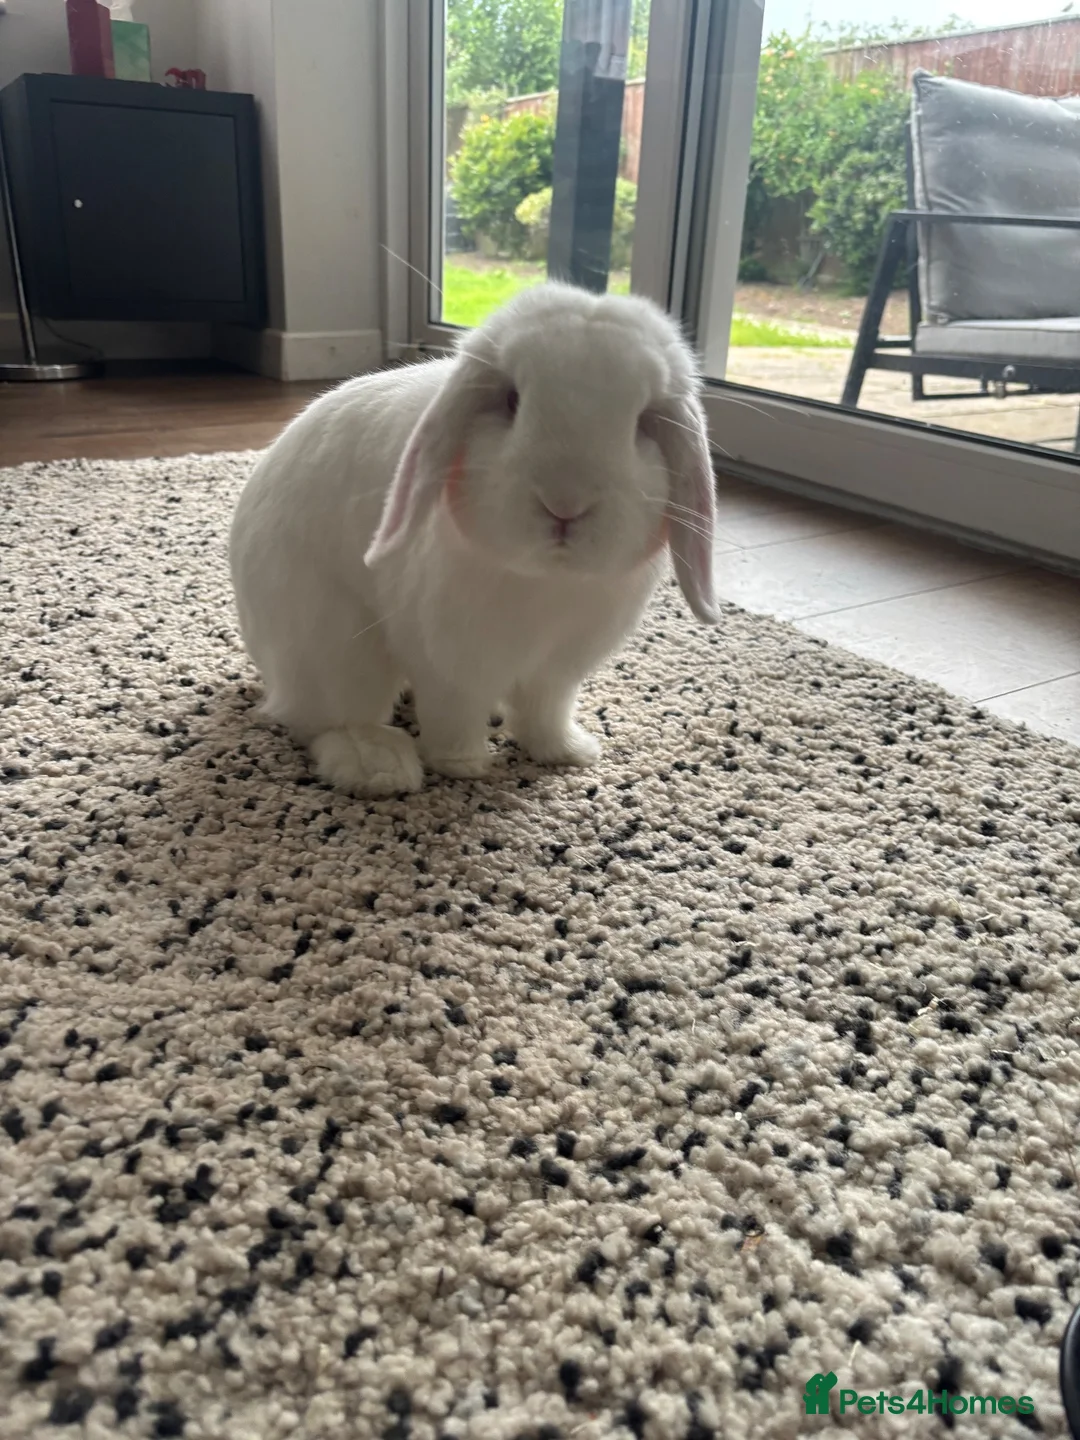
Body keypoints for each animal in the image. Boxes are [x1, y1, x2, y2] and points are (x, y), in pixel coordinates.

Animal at [229, 281, 718, 797]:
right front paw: (461, 765)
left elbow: (545, 712)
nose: (565, 503)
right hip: (333, 647)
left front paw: (567, 753)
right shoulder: (449, 665)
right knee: (325, 720)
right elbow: (454, 715)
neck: (547, 579)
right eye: (512, 401)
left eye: (642, 422)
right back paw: (381, 767)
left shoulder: (557, 671)